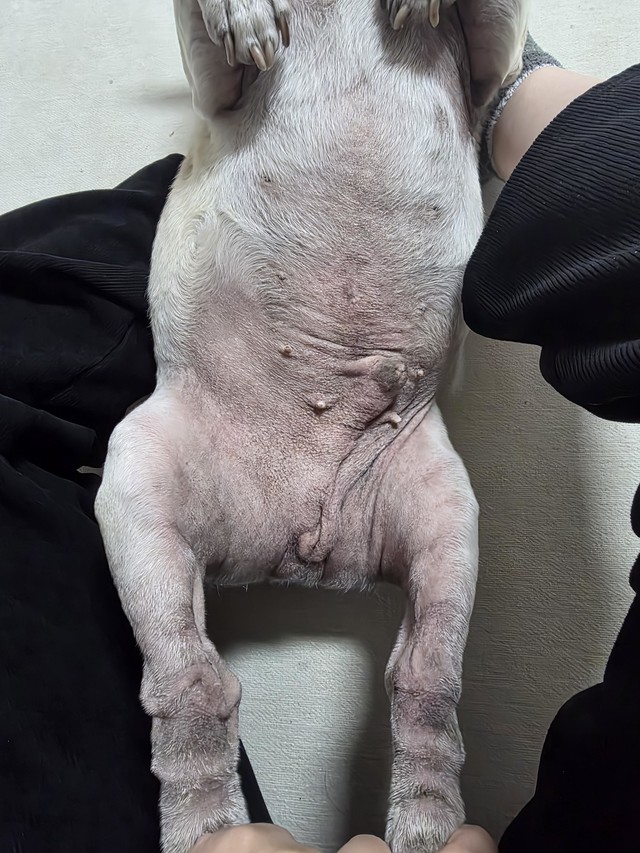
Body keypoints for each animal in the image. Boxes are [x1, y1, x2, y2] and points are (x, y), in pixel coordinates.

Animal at [95, 1, 529, 850]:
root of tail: (294, 550)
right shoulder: (219, 82)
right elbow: (215, 30)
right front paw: (245, 11)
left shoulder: (489, 66)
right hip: (137, 476)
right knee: (192, 680)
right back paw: (205, 818)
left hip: (443, 511)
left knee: (424, 682)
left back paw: (425, 815)